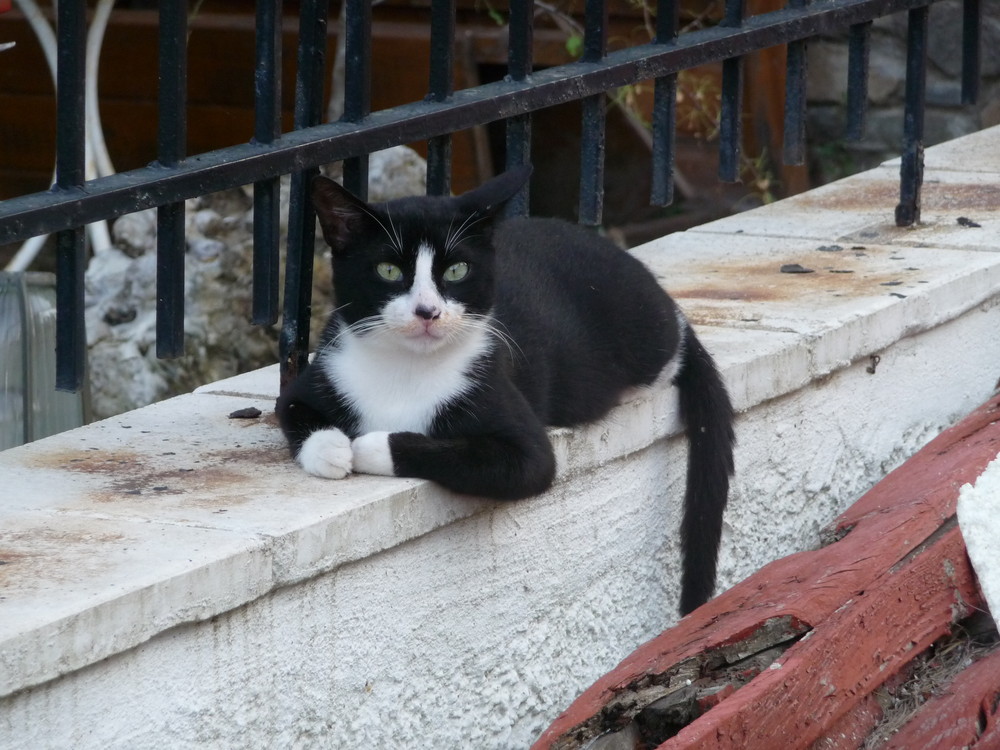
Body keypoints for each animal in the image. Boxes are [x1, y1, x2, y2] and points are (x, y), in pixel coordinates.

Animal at [276, 166, 736, 616]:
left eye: (456, 271)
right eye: (388, 270)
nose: (428, 311)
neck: (406, 369)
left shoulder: (507, 410)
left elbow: (486, 457)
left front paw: (366, 446)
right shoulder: (319, 372)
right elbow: (291, 408)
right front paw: (330, 449)